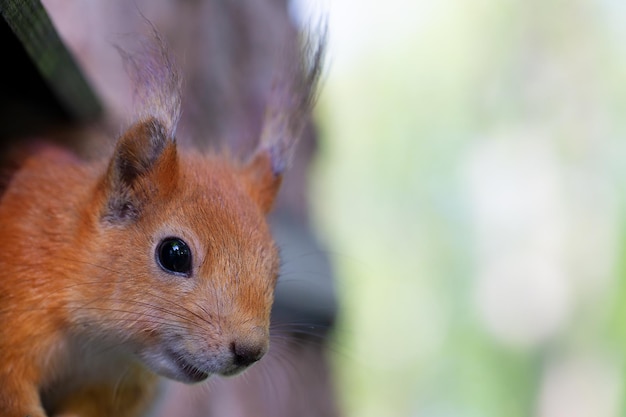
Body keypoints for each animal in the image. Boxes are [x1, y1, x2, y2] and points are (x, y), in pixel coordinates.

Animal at [0, 27, 322, 414]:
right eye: (174, 254)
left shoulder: (115, 388)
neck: (98, 343)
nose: (249, 351)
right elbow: (12, 395)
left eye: (275, 268)